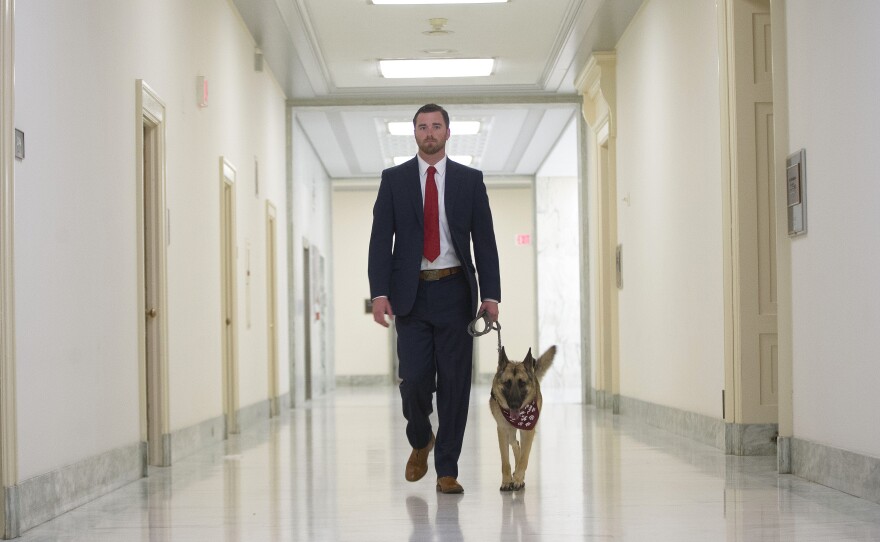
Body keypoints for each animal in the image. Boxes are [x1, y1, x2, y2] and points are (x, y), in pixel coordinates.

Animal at [488, 348, 556, 492]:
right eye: (507, 383)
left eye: (522, 383)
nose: (514, 405)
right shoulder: (502, 430)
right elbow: (505, 461)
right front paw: (507, 481)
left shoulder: (528, 431)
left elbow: (524, 458)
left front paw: (518, 479)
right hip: (509, 433)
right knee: (515, 443)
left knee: (520, 448)